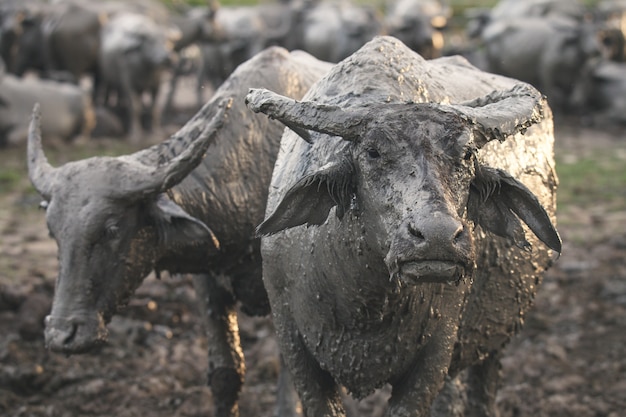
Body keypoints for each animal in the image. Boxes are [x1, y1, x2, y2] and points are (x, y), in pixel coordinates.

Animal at [245, 35, 560, 416]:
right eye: (373, 152)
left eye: (467, 154)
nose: (438, 237)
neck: (365, 306)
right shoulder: (295, 345)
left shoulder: (435, 353)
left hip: (498, 333)